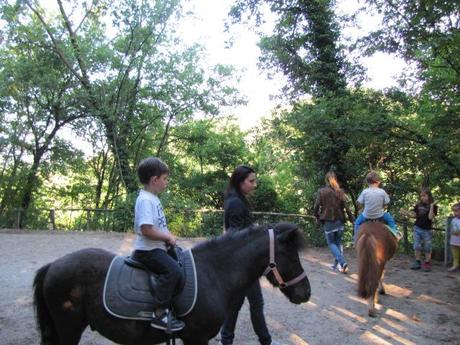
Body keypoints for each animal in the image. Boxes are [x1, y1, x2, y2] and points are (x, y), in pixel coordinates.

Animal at [34, 222, 310, 344]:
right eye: (291, 256)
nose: (306, 293)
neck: (213, 274)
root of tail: (53, 265)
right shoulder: (196, 340)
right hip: (69, 328)